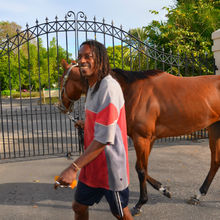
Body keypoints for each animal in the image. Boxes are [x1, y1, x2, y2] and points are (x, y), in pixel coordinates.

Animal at [58, 59, 220, 216]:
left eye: (63, 80)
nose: (61, 106)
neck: (131, 92)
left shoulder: (141, 138)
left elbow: (141, 169)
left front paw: (140, 203)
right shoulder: (149, 139)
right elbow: (143, 168)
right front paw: (163, 189)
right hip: (214, 128)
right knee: (215, 162)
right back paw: (198, 195)